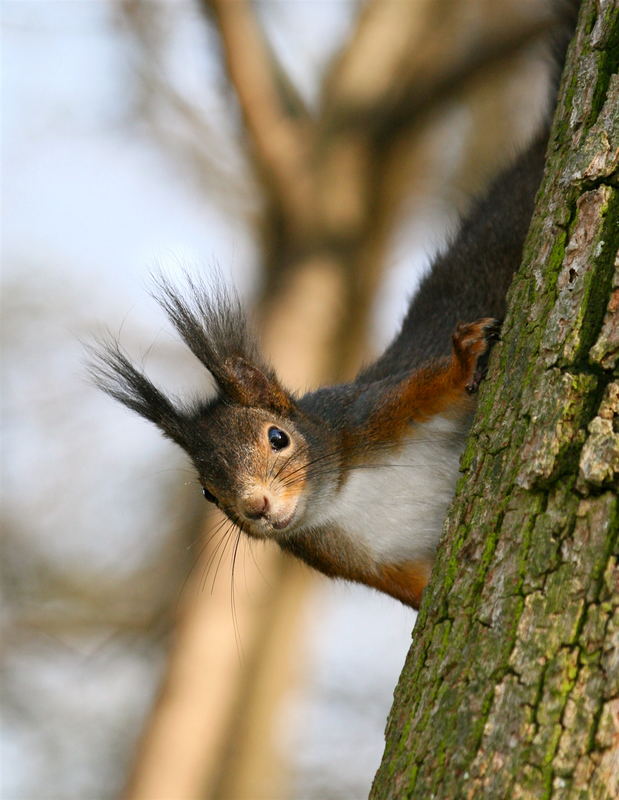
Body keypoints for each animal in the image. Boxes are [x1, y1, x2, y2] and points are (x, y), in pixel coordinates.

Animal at [93, 6, 580, 608]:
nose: (255, 508)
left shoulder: (374, 410)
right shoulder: (365, 563)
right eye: (208, 492)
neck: (341, 497)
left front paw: (464, 357)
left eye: (278, 437)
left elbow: (432, 382)